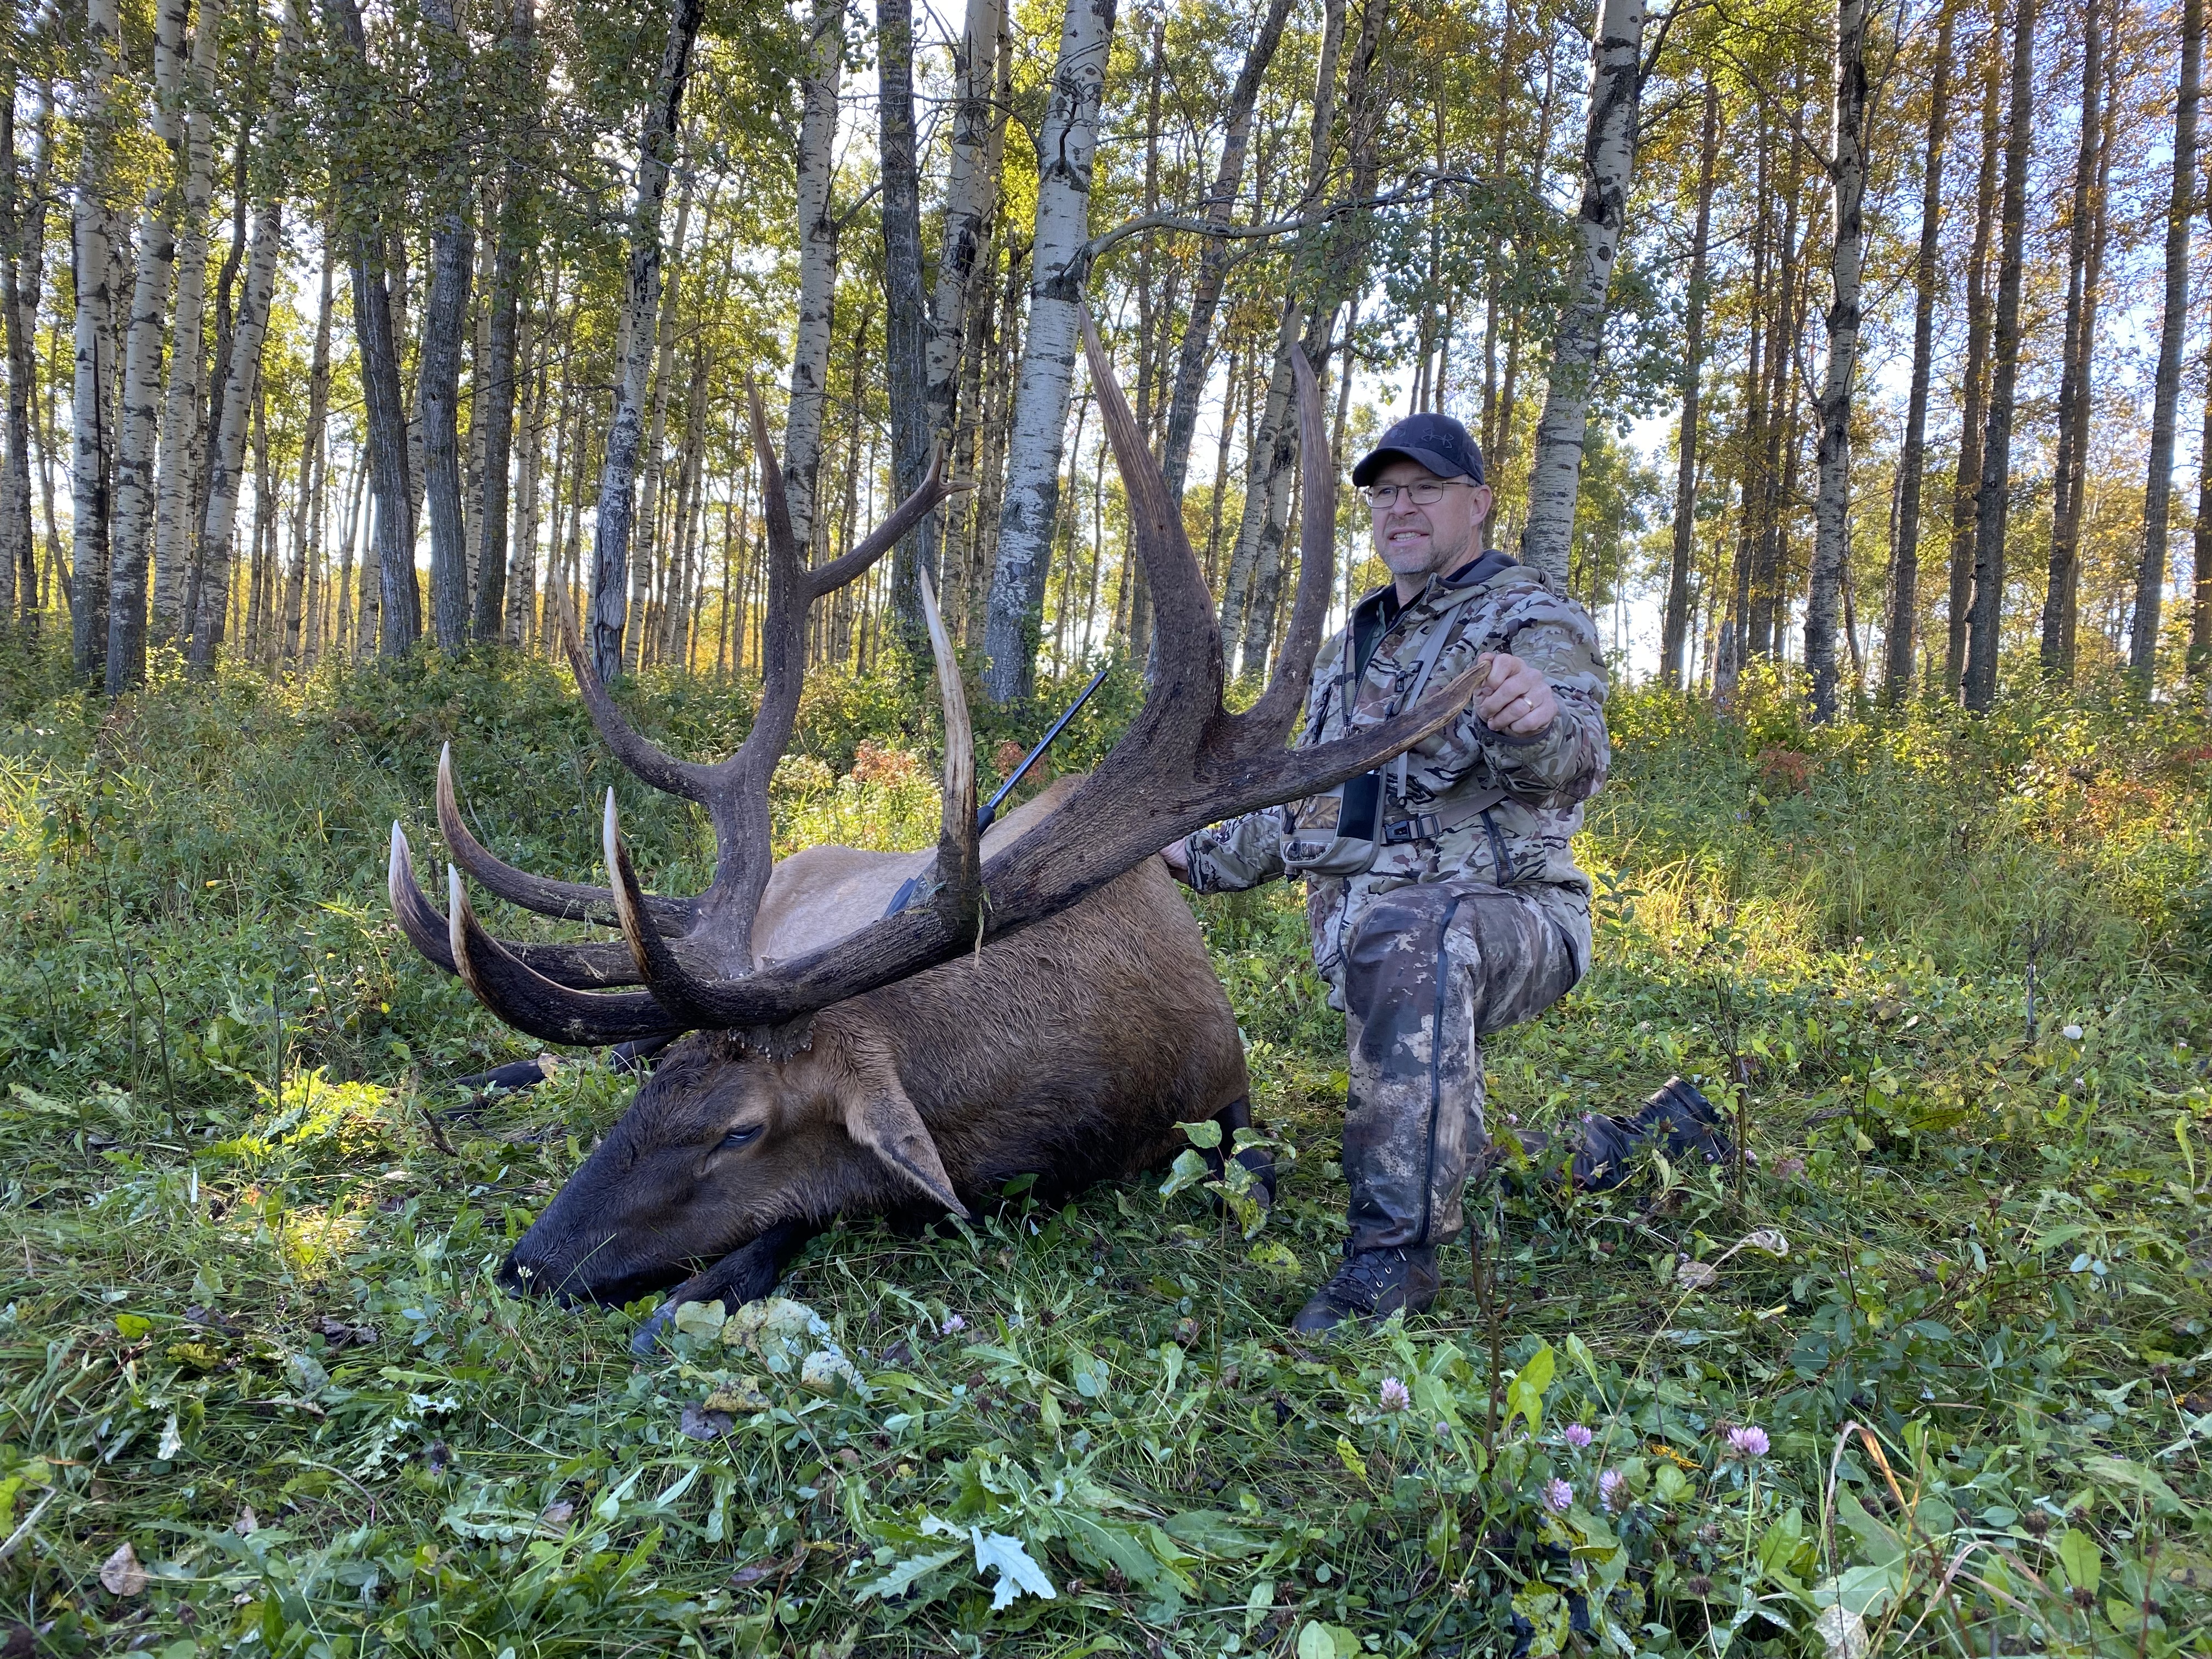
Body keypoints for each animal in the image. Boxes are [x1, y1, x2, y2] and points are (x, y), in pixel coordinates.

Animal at [385, 315, 1484, 1347]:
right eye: (667, 1097)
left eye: (739, 1132)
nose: (527, 1263)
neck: (1090, 1101)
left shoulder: (1228, 1086)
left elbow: (1246, 1174)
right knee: (573, 1045)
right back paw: (458, 1090)